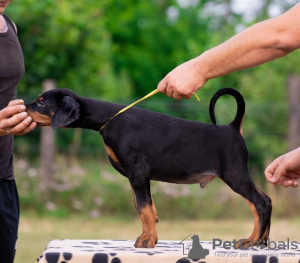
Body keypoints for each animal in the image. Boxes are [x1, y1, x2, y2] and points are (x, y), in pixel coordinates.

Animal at [26, 88, 272, 250]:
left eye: (41, 102)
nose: (21, 105)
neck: (108, 119)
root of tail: (233, 128)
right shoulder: (135, 177)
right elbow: (146, 208)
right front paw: (148, 237)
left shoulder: (138, 172)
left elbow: (144, 209)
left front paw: (146, 241)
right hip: (240, 174)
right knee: (267, 200)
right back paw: (262, 241)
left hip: (234, 174)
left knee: (259, 204)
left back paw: (250, 241)